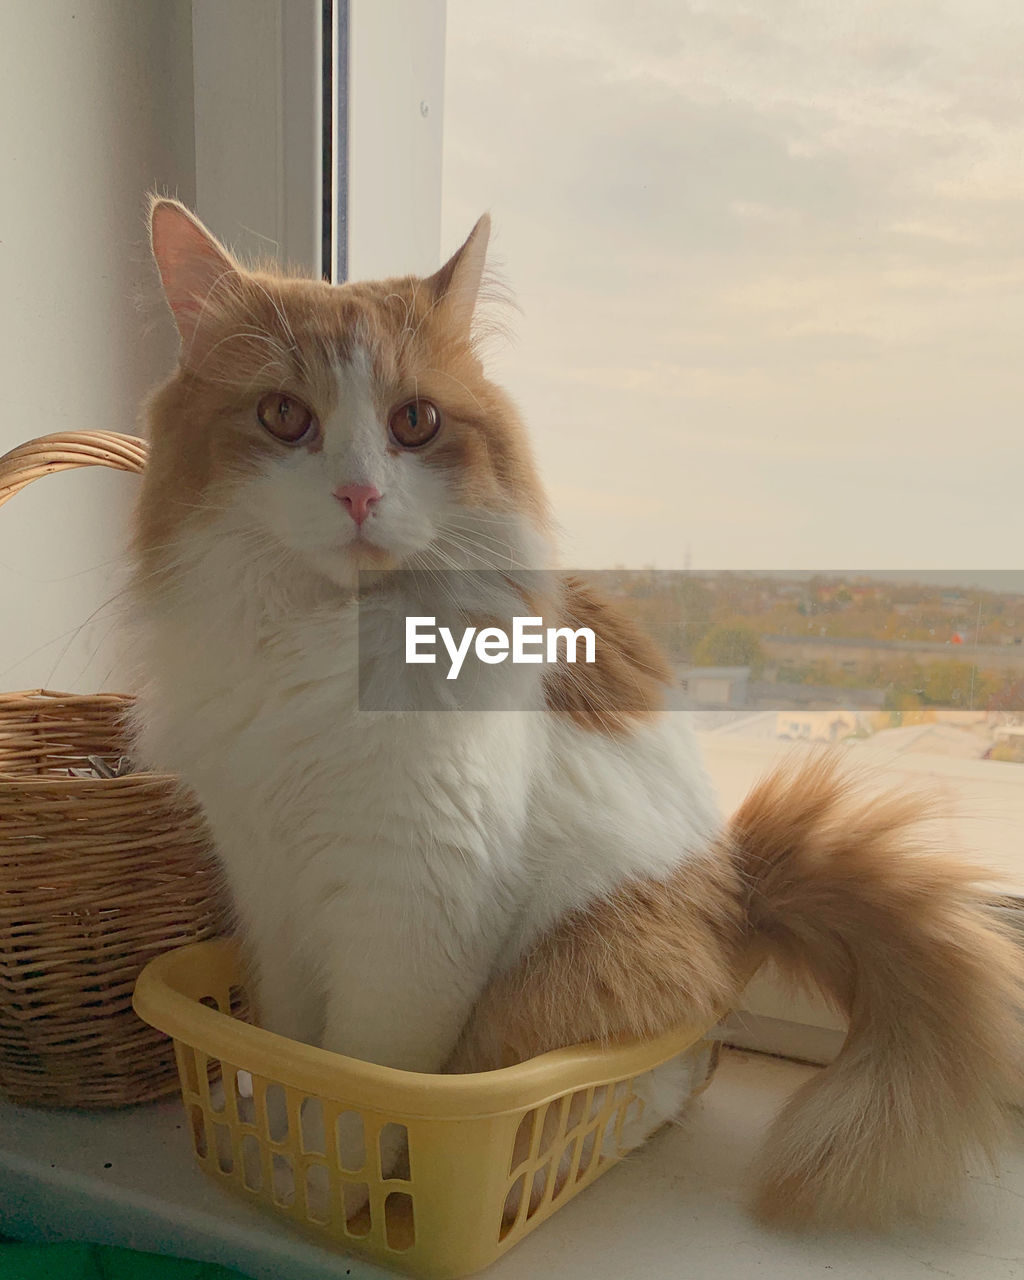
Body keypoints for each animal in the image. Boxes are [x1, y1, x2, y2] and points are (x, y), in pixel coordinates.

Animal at [131, 199, 1018, 1228]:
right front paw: (266, 1141)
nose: (359, 495)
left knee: (638, 1093)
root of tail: (742, 887)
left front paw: (321, 1189)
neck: (318, 645)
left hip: (565, 971)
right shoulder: (272, 897)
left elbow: (358, 1086)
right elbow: (291, 1054)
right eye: (284, 416)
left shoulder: (411, 911)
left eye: (414, 422)